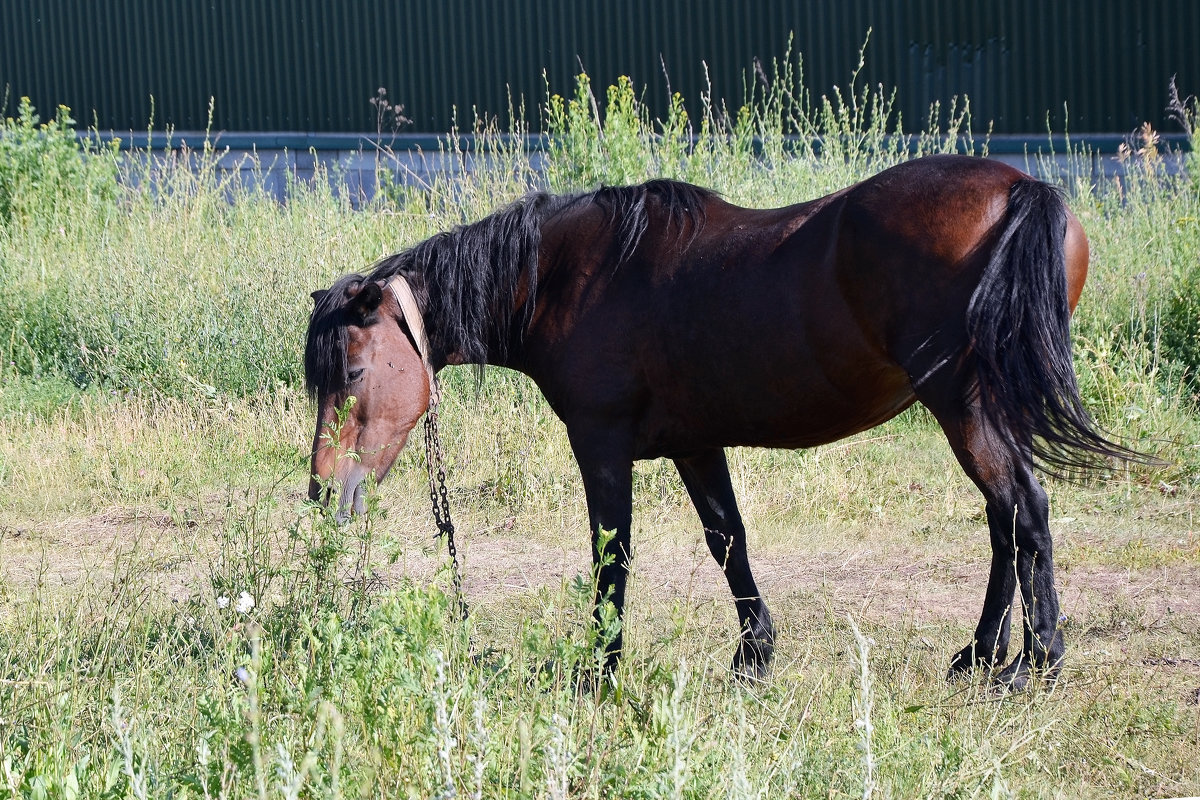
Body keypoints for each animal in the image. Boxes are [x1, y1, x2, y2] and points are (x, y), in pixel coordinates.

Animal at [304, 155, 1137, 690]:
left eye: (350, 375)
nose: (320, 492)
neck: (565, 277)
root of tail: (1021, 187)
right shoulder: (696, 446)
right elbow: (727, 541)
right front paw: (754, 657)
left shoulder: (600, 444)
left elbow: (612, 555)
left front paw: (598, 669)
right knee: (1005, 520)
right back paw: (979, 655)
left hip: (965, 403)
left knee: (1022, 510)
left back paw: (1036, 664)